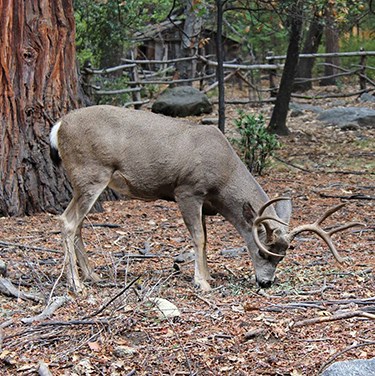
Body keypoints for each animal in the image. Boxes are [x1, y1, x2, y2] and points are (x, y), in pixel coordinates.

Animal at [49, 104, 362, 292]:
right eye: (263, 252)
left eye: (282, 257)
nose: (265, 283)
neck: (223, 178)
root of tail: (59, 126)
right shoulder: (187, 190)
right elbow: (198, 238)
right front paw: (202, 283)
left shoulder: (205, 203)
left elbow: (207, 239)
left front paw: (208, 275)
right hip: (91, 173)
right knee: (67, 221)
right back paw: (76, 284)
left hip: (85, 182)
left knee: (78, 224)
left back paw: (92, 275)